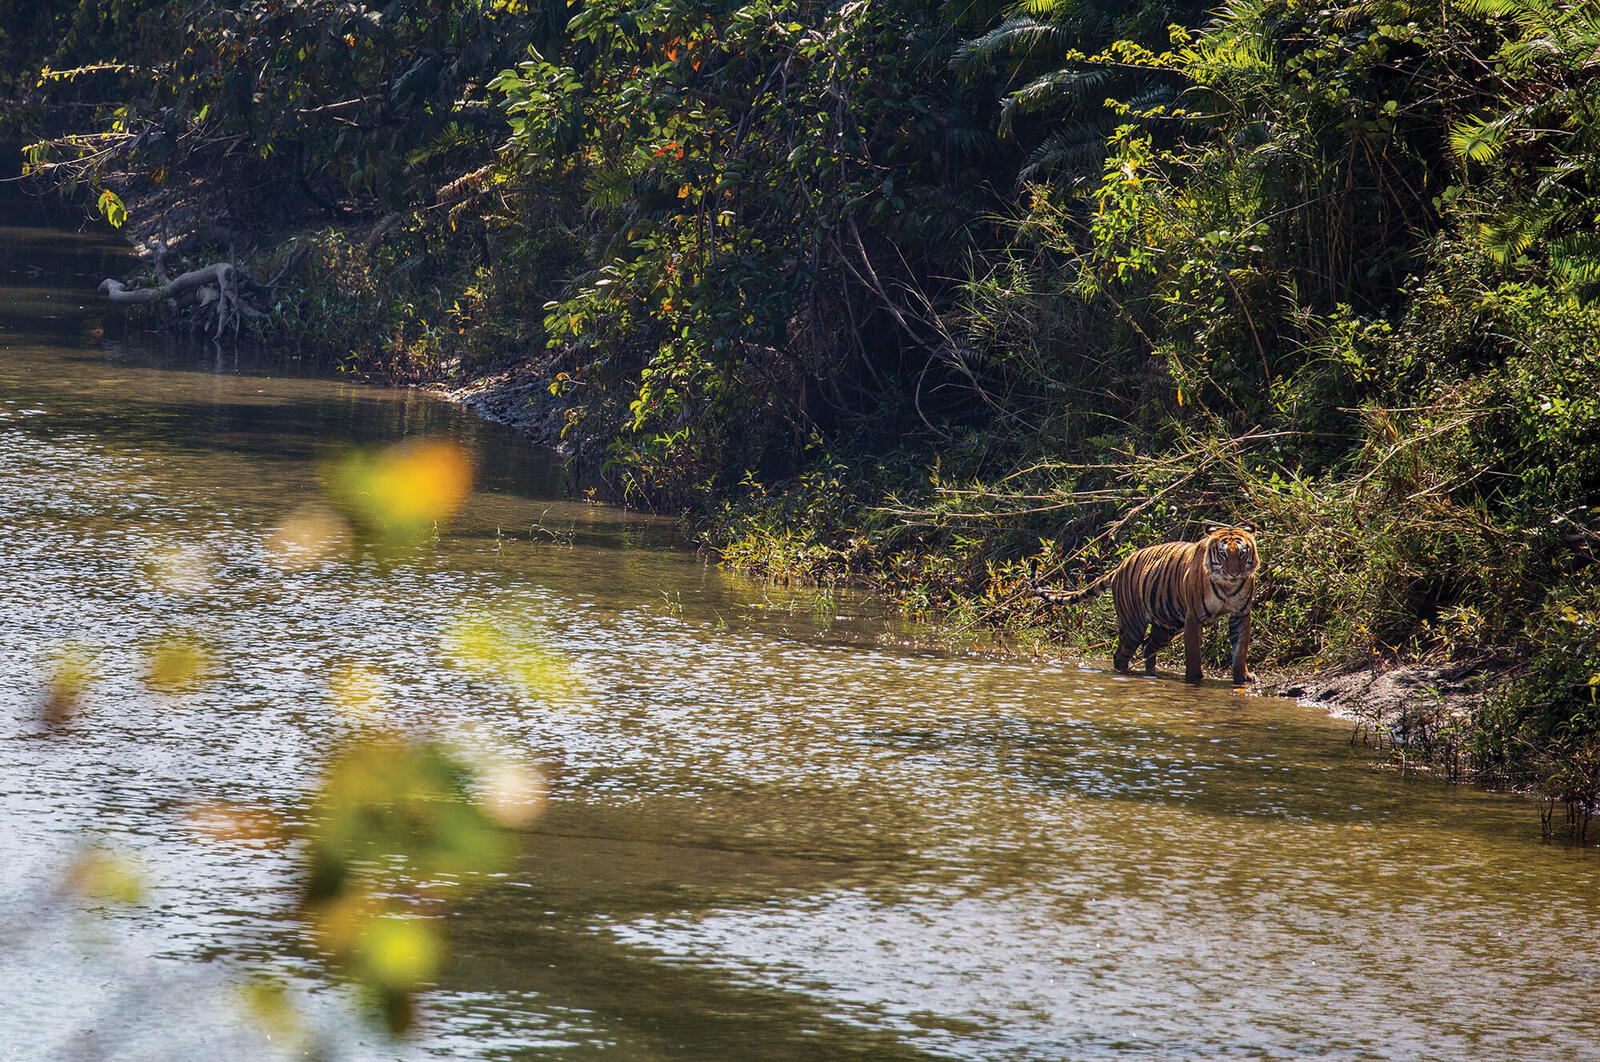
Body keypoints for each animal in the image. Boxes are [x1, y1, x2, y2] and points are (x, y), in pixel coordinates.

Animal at [1036, 524, 1260, 687]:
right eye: (1223, 554)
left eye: (1242, 554)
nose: (1233, 573)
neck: (1228, 586)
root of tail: (1121, 564)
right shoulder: (1193, 617)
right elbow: (1194, 653)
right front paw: (1195, 679)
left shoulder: (1241, 613)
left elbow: (1240, 648)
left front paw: (1243, 677)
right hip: (1133, 625)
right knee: (1121, 655)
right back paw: (1125, 674)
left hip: (1166, 627)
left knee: (1148, 648)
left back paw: (1152, 674)